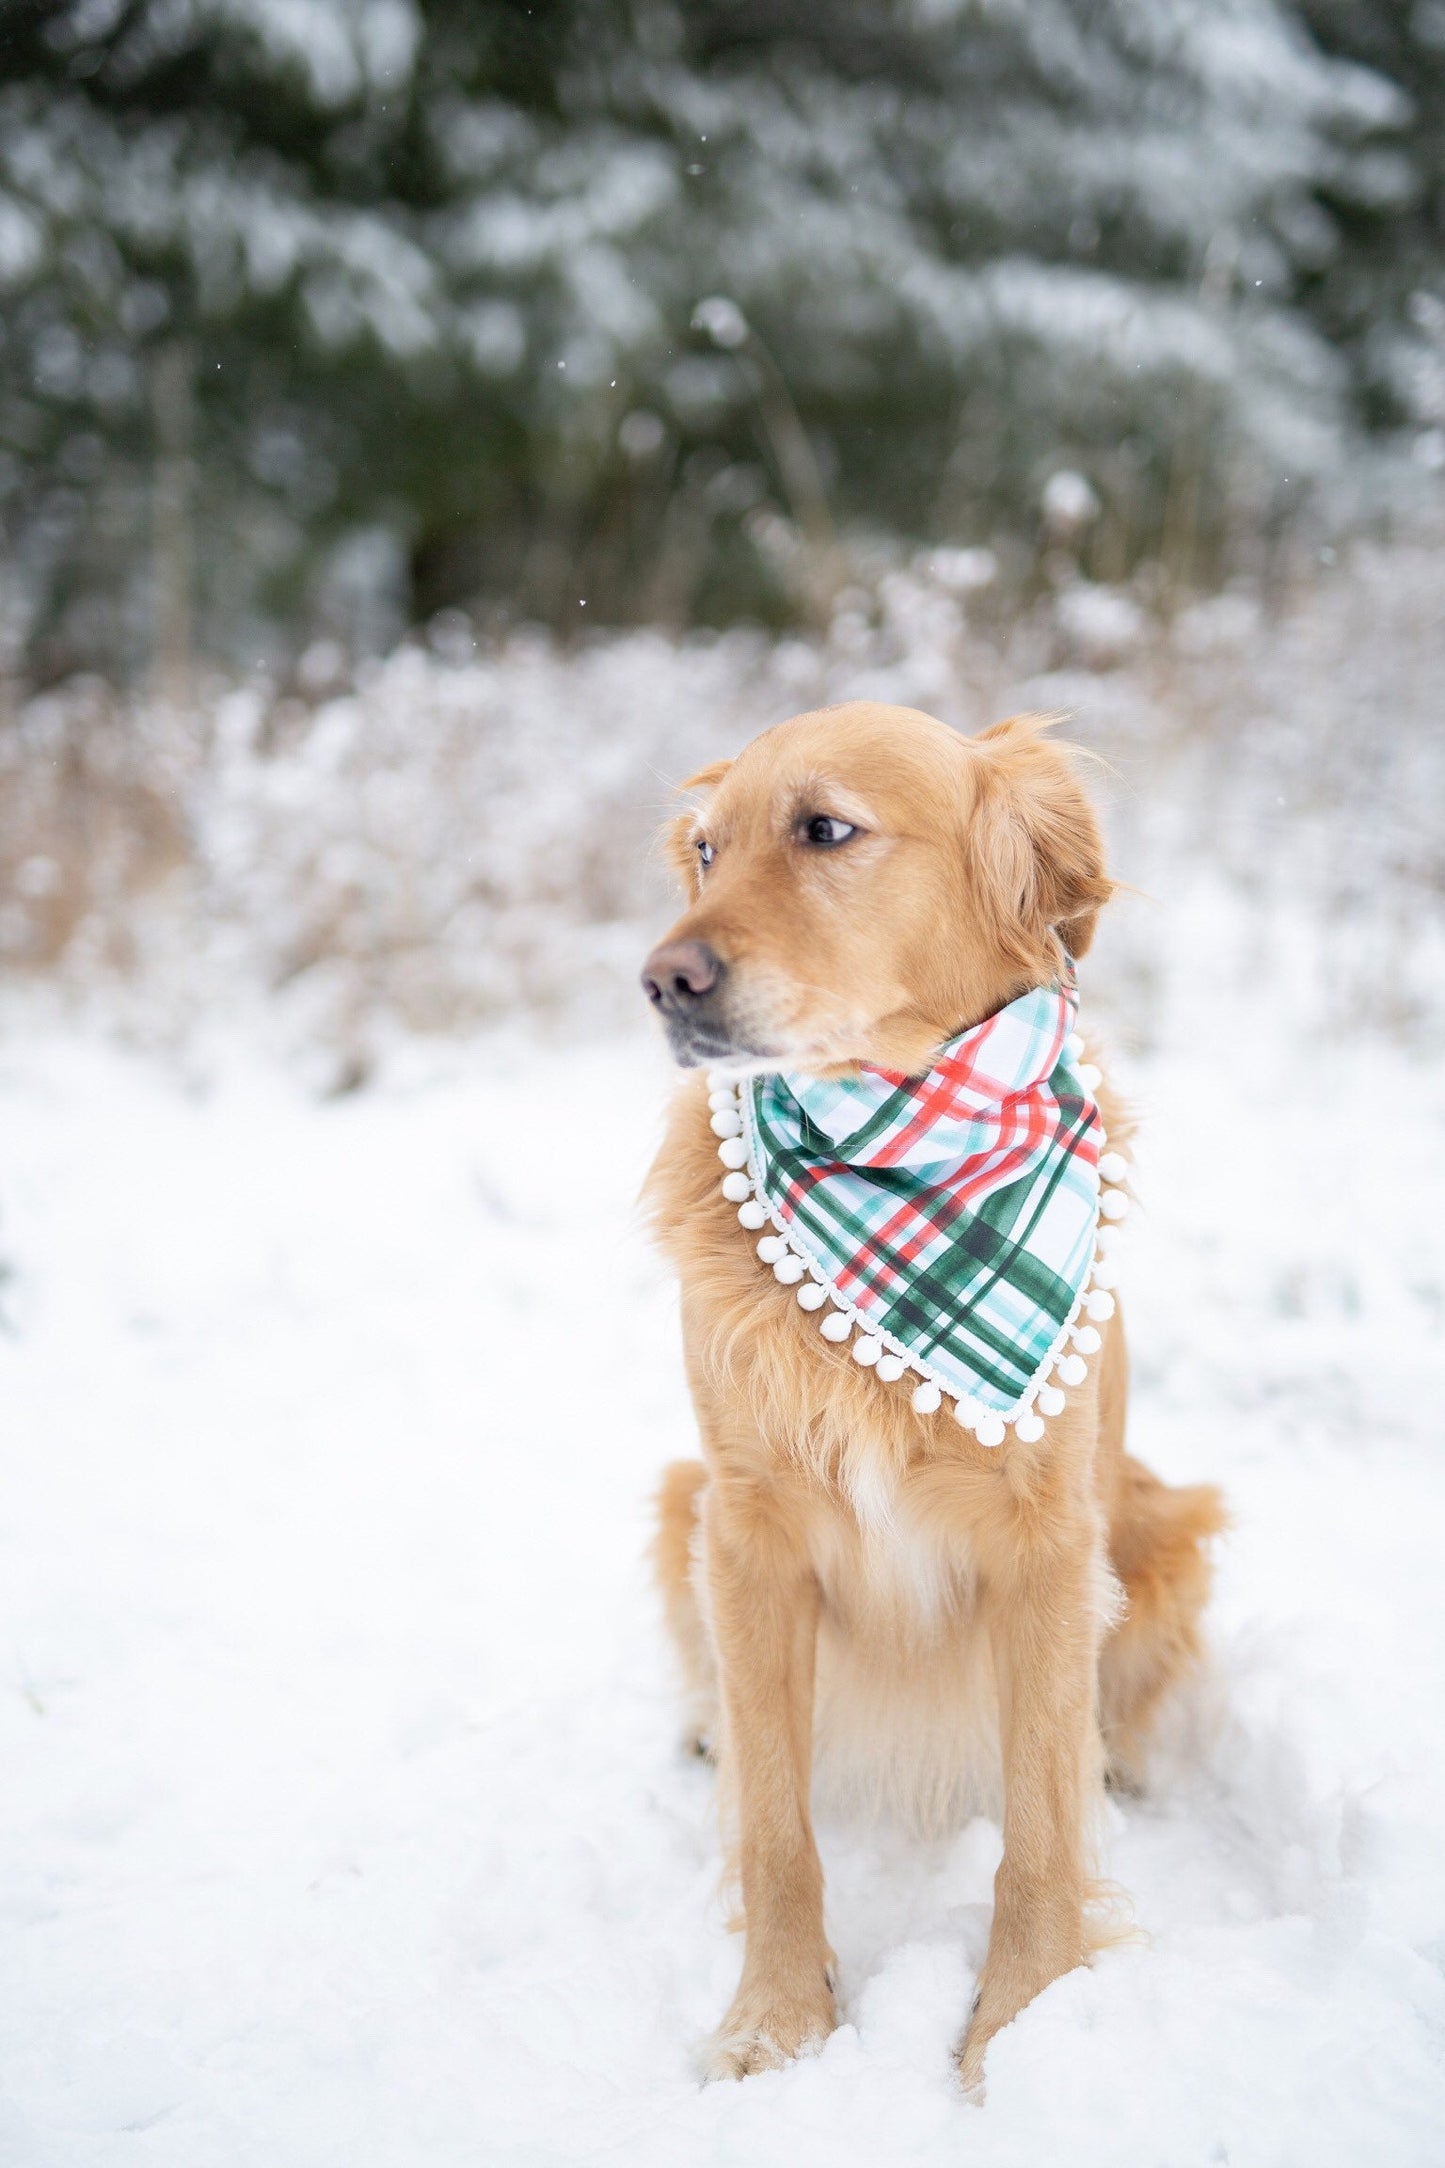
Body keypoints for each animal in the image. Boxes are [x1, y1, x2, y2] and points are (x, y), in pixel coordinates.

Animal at [641, 702, 1221, 2089]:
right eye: (703, 848)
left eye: (825, 828)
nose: (661, 981)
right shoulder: (744, 1527)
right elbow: (775, 1828)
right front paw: (774, 2023)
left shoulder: (1049, 1540)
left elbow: (1042, 1827)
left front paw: (1020, 2030)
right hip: (679, 1496)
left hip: (1163, 1522)